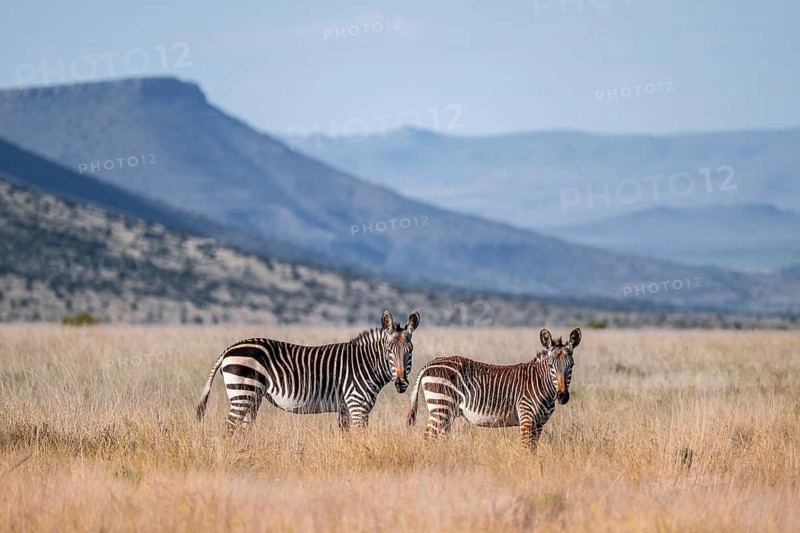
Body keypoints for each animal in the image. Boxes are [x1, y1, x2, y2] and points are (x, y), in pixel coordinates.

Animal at [196, 310, 421, 431]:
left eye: (410, 351)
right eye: (389, 351)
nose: (401, 383)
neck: (366, 363)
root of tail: (228, 349)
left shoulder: (345, 409)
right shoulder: (357, 405)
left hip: (252, 396)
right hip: (242, 392)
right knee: (229, 427)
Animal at [405, 327, 580, 449]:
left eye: (572, 365)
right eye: (551, 366)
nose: (562, 396)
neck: (541, 383)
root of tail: (430, 363)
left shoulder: (539, 424)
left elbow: (533, 449)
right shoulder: (527, 418)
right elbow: (526, 449)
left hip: (446, 412)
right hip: (440, 406)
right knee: (428, 437)